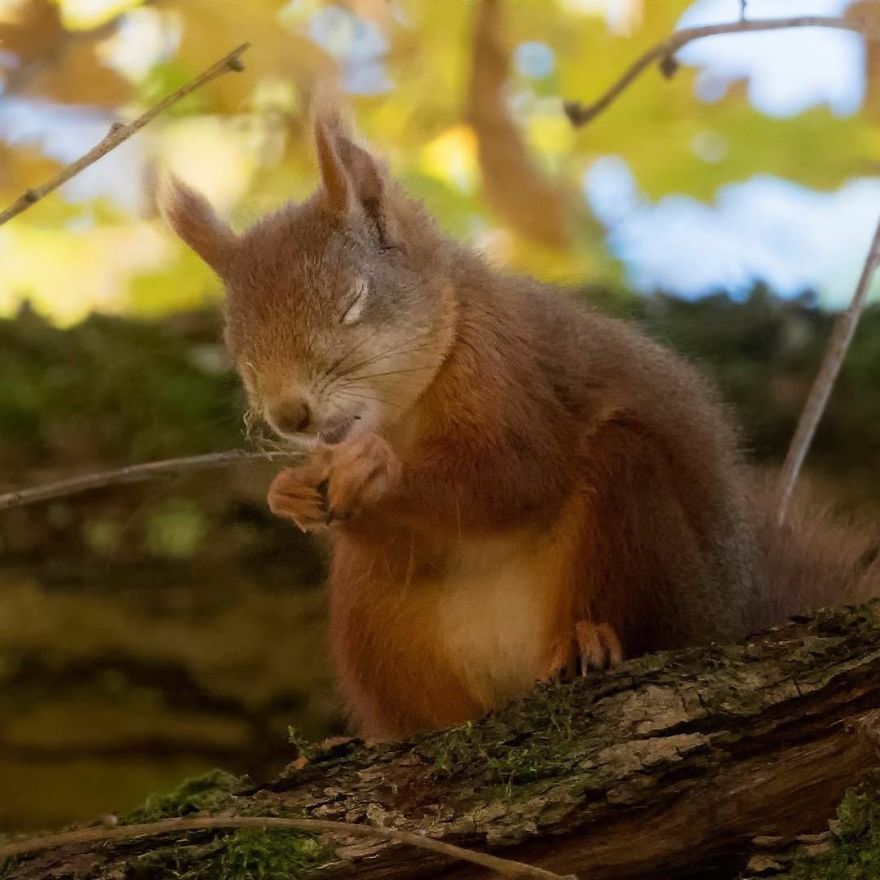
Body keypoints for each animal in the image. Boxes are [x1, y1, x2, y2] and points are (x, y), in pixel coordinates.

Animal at [167, 113, 880, 740]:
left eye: (354, 302)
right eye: (237, 343)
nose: (290, 414)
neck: (401, 415)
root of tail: (731, 612)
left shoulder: (507, 366)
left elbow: (515, 472)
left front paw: (378, 471)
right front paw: (288, 492)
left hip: (641, 524)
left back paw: (587, 641)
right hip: (373, 614)